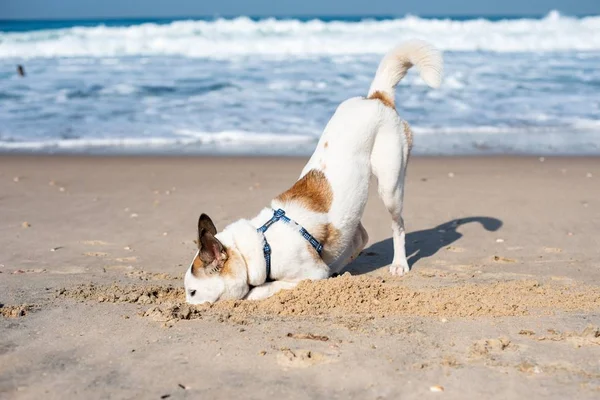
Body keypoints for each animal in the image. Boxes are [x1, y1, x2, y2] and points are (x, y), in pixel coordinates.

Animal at [185, 39, 442, 304]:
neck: (263, 246)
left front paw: (255, 292)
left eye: (192, 291)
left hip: (390, 185)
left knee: (398, 225)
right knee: (360, 236)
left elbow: (267, 287)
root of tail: (377, 98)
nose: (186, 306)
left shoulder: (310, 273)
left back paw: (398, 263)